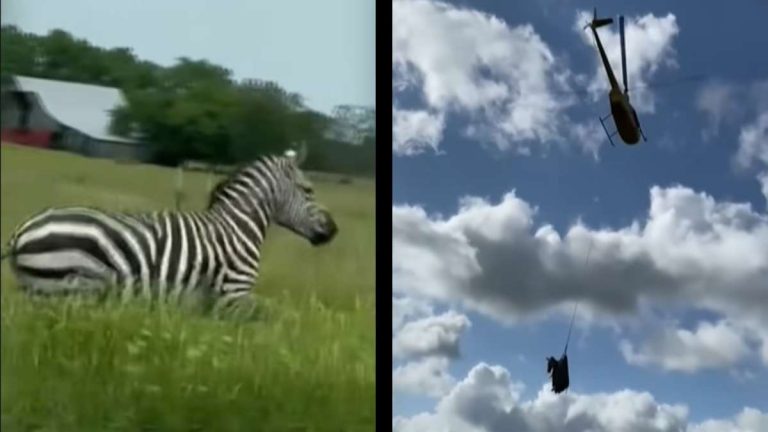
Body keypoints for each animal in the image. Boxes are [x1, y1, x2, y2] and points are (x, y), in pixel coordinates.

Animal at [0, 147, 338, 313]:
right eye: (308, 190)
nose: (333, 230)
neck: (237, 227)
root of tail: (20, 233)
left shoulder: (209, 303)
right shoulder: (235, 293)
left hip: (40, 293)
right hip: (64, 292)